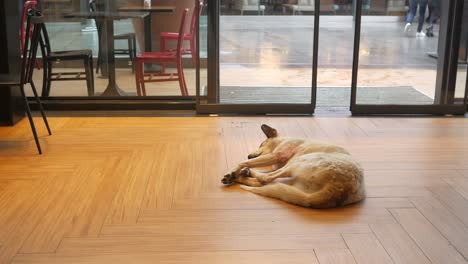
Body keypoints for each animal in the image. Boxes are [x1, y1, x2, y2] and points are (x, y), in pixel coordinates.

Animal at [222, 124, 366, 208]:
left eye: (261, 144)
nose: (249, 155)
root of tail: (339, 190)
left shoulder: (276, 156)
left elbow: (243, 163)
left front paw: (234, 170)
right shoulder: (276, 164)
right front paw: (238, 172)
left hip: (299, 161)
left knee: (265, 180)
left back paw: (239, 175)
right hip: (295, 181)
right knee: (266, 182)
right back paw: (240, 177)